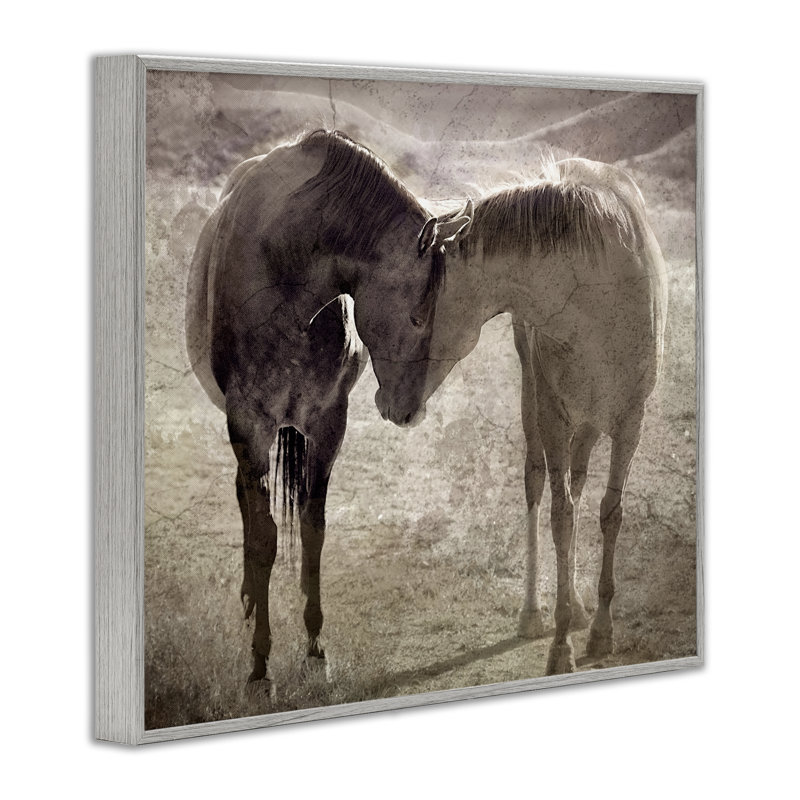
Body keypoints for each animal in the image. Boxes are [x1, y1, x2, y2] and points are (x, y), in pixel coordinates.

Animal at [185, 130, 473, 693]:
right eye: (417, 316)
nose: (409, 412)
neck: (284, 274)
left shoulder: (326, 423)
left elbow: (313, 532)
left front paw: (316, 647)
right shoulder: (249, 423)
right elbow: (265, 538)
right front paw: (260, 665)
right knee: (248, 505)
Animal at [424, 157, 667, 675]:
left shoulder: (629, 419)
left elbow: (609, 512)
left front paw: (601, 630)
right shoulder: (553, 414)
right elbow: (560, 517)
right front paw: (560, 645)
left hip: (591, 420)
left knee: (577, 477)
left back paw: (575, 605)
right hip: (533, 398)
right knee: (538, 480)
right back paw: (535, 612)